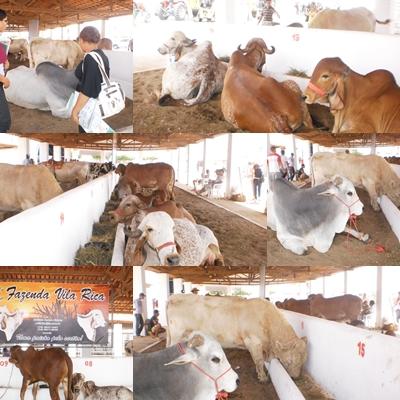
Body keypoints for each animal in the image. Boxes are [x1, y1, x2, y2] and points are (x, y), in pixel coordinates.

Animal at [167, 295, 308, 382]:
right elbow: (258, 360)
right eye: (289, 361)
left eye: (303, 361)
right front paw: (262, 378)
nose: (295, 377)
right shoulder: (253, 341)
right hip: (176, 335)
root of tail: (174, 297)